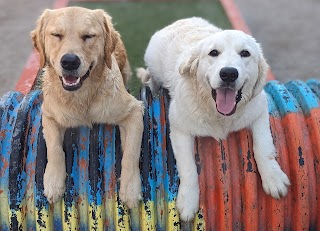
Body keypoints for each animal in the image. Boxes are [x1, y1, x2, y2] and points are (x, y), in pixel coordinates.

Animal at [138, 17, 290, 221]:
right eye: (213, 53)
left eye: (245, 53)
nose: (229, 73)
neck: (219, 115)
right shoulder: (179, 127)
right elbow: (188, 167)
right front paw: (188, 200)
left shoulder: (259, 108)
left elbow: (263, 145)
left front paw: (273, 177)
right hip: (153, 63)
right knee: (152, 80)